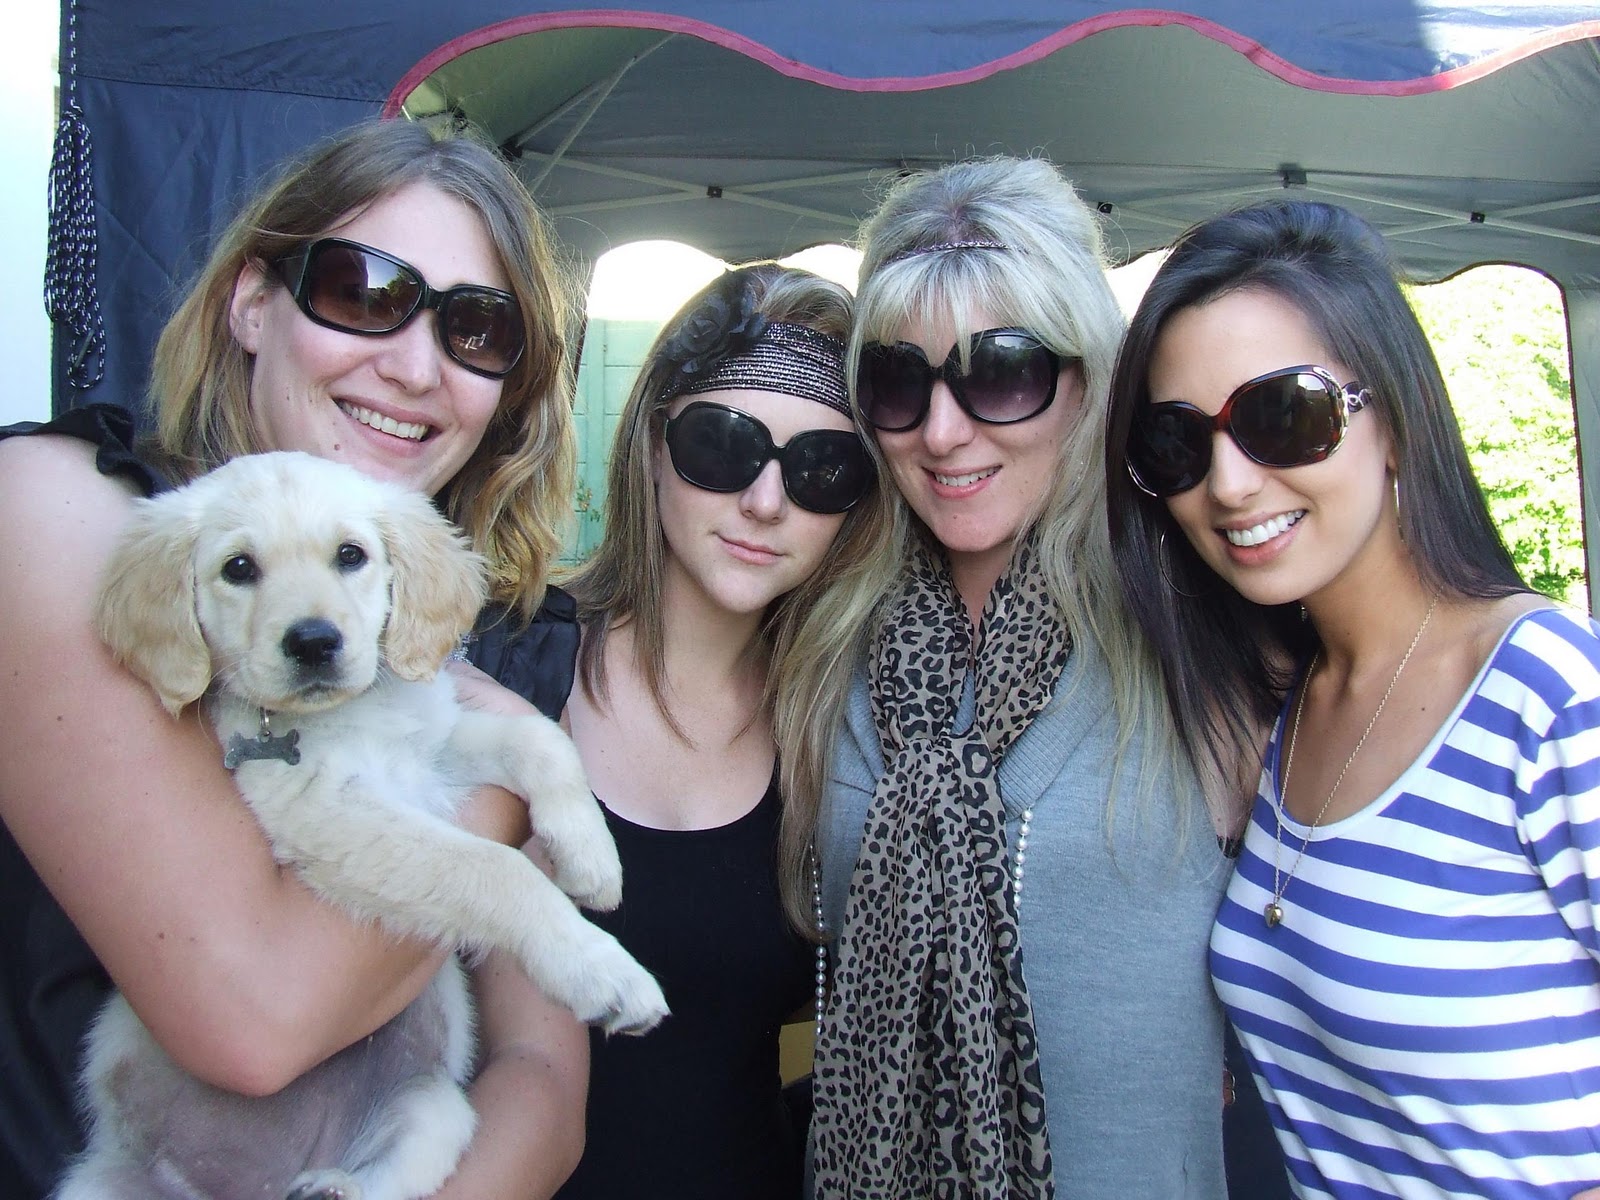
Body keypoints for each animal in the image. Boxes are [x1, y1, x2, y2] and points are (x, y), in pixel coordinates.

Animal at [65, 451, 665, 1200]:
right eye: (238, 568)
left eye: (351, 555)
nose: (314, 642)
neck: (353, 716)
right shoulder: (327, 814)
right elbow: (492, 866)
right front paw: (601, 970)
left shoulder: (433, 748)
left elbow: (541, 741)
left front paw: (590, 856)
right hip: (98, 1180)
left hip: (433, 1105)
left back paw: (329, 1187)